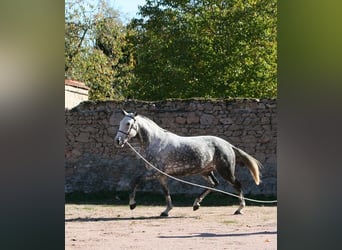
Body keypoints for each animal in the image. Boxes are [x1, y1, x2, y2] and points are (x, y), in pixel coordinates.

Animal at [115, 110, 262, 216]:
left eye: (128, 124)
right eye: (120, 122)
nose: (118, 141)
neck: (156, 142)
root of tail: (228, 145)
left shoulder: (154, 172)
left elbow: (135, 181)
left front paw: (132, 204)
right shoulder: (161, 175)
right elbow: (166, 192)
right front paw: (166, 211)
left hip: (225, 171)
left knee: (237, 185)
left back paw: (239, 209)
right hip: (205, 171)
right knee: (214, 184)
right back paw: (196, 204)